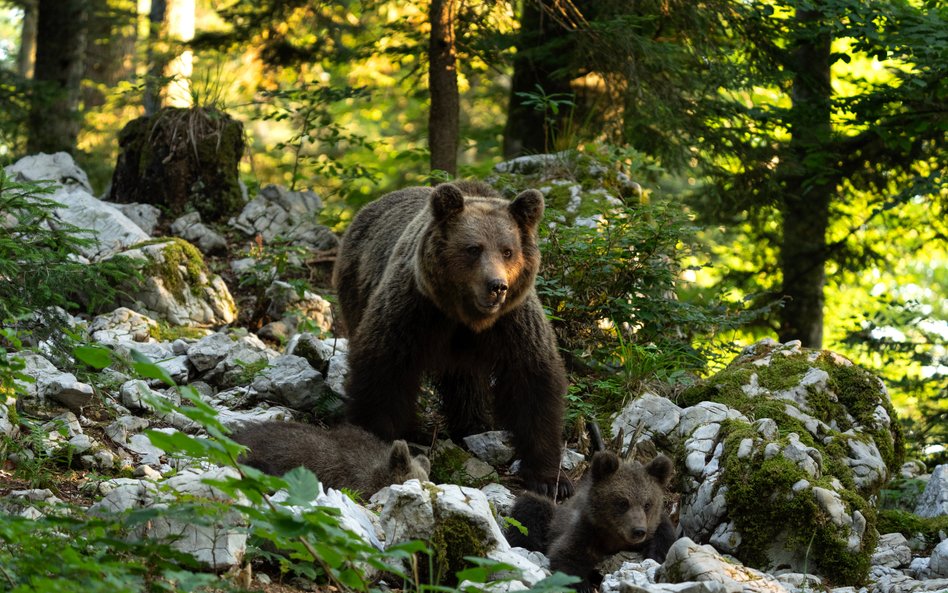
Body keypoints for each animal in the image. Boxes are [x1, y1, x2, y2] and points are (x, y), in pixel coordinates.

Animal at [334, 183, 572, 498]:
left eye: (508, 251)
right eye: (473, 248)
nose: (497, 286)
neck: (465, 317)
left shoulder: (513, 324)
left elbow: (533, 384)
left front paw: (549, 480)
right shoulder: (415, 310)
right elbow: (384, 369)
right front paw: (375, 437)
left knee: (466, 382)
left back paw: (471, 424)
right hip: (356, 290)